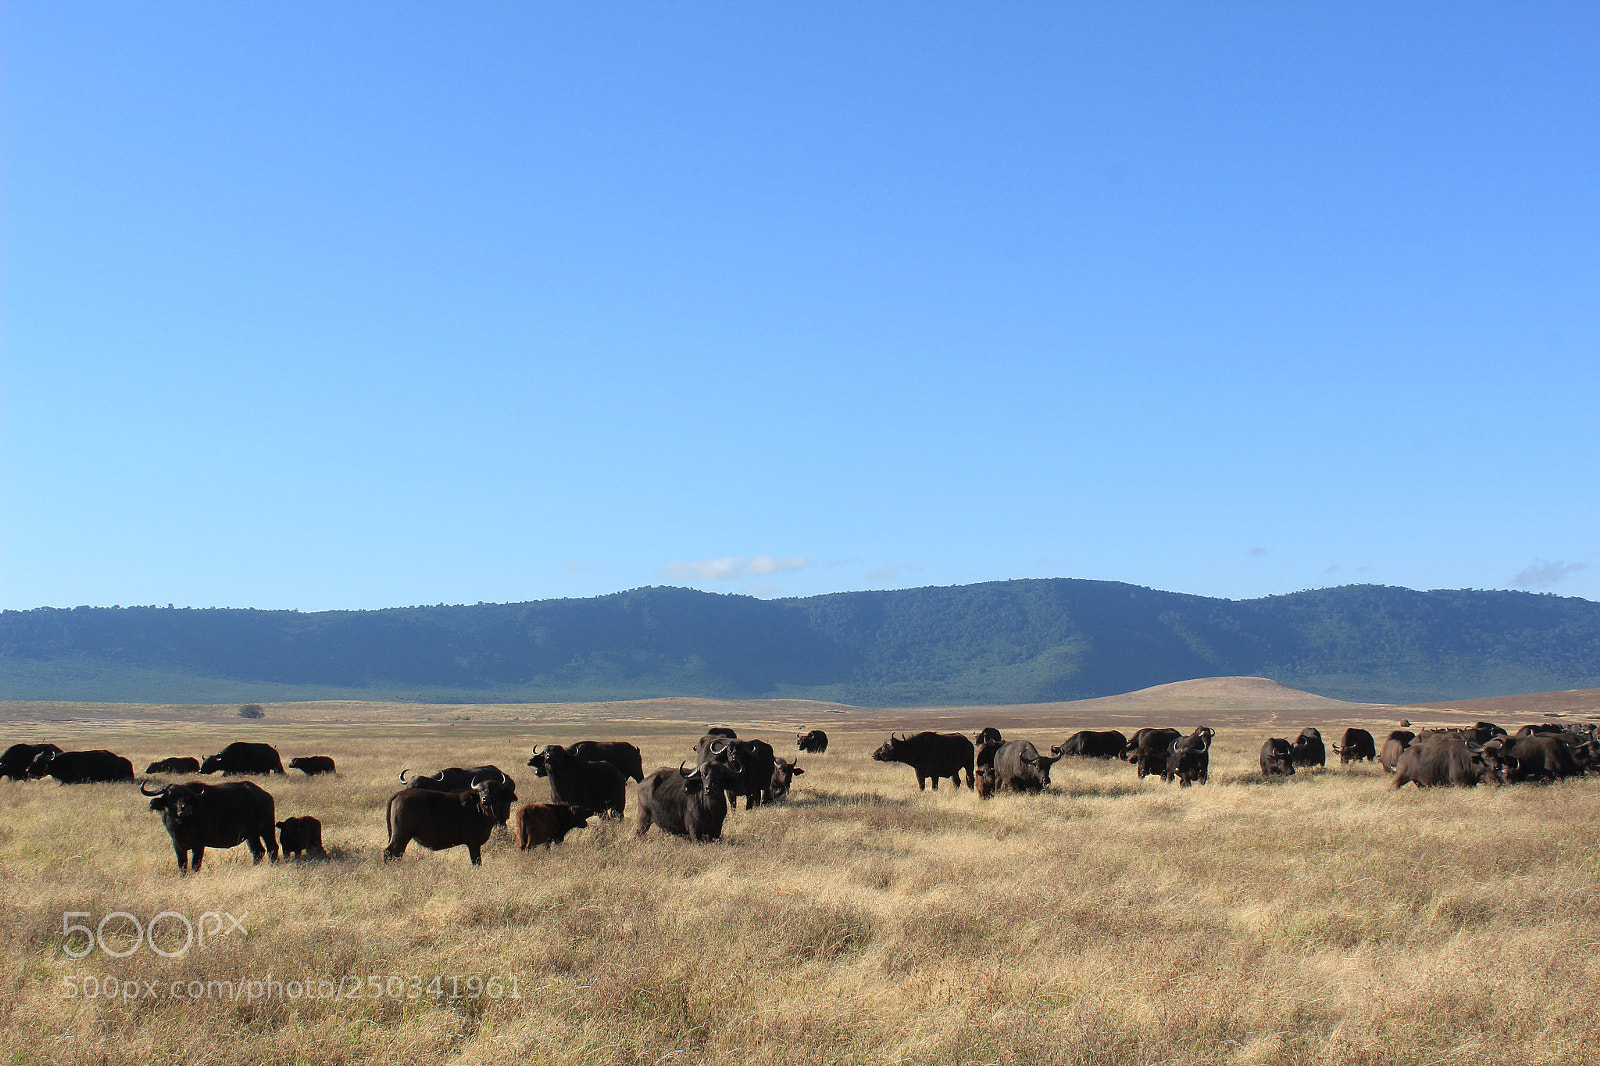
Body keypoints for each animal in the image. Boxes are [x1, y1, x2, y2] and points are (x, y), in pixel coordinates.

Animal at [142, 780, 278, 873]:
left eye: (188, 797)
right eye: (171, 796)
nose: (185, 808)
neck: (181, 826)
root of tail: (266, 795)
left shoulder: (198, 845)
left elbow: (195, 865)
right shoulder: (177, 846)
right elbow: (182, 866)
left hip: (267, 829)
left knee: (272, 847)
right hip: (251, 835)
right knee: (258, 852)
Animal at [383, 771, 517, 865]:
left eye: (494, 789)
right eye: (480, 790)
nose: (486, 799)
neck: (480, 810)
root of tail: (399, 794)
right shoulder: (473, 843)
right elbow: (477, 862)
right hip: (401, 834)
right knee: (390, 852)